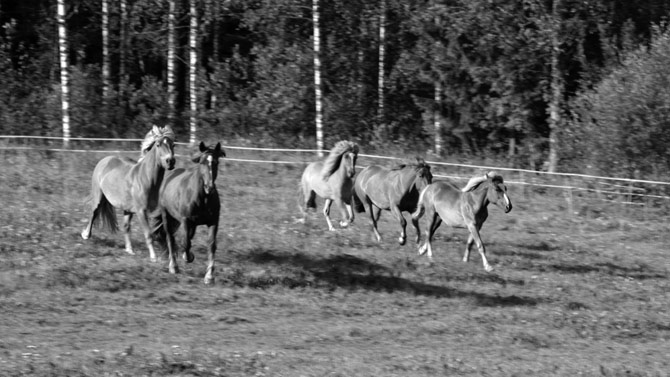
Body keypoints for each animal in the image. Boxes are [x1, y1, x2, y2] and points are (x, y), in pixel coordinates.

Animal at [81, 125, 177, 260]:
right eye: (158, 144)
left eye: (173, 145)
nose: (170, 161)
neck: (146, 179)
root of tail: (105, 160)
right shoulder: (141, 211)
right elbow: (148, 234)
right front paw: (153, 257)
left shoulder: (155, 210)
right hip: (98, 196)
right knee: (94, 213)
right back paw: (86, 235)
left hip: (127, 209)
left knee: (125, 226)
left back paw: (129, 250)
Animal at [152, 142, 226, 284]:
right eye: (202, 162)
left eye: (216, 162)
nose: (209, 187)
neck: (203, 198)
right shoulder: (186, 220)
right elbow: (185, 242)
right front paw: (187, 257)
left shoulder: (213, 222)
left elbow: (211, 245)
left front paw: (209, 276)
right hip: (167, 216)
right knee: (170, 238)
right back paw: (173, 266)